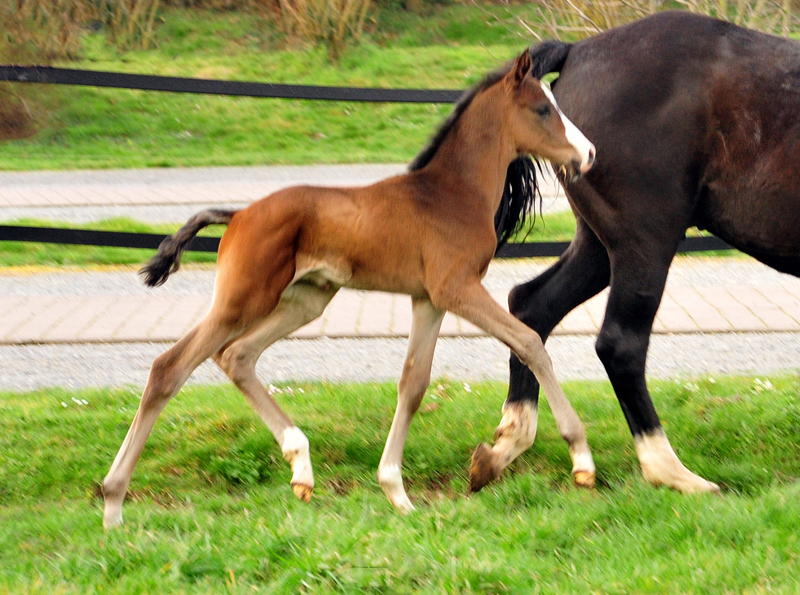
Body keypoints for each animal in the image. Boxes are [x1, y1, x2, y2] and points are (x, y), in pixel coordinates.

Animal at [101, 50, 592, 528]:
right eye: (543, 109)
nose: (588, 153)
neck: (452, 192)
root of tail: (238, 214)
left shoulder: (428, 299)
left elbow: (414, 383)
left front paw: (396, 492)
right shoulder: (457, 289)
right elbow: (529, 341)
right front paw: (580, 456)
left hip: (307, 300)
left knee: (236, 356)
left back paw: (301, 467)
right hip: (243, 300)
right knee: (169, 367)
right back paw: (112, 502)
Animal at [472, 12, 800, 494]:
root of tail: (580, 50)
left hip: (598, 248)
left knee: (531, 307)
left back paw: (507, 445)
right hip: (645, 244)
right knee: (620, 345)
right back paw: (671, 470)